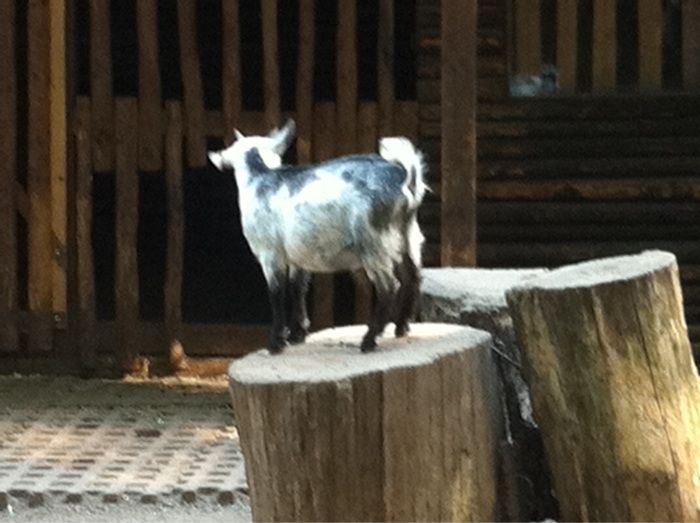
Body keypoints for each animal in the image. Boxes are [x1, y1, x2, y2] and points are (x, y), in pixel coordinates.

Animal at [208, 121, 426, 354]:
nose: (217, 157)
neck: (259, 177)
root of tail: (403, 178)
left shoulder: (270, 254)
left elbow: (276, 293)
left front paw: (276, 343)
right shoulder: (297, 255)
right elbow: (297, 288)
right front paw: (297, 335)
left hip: (373, 242)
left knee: (389, 286)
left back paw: (369, 340)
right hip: (407, 236)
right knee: (413, 276)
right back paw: (401, 327)